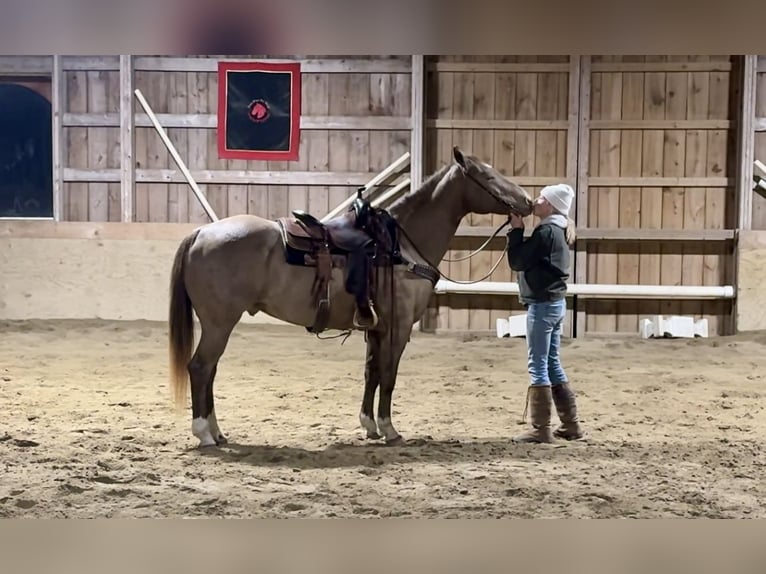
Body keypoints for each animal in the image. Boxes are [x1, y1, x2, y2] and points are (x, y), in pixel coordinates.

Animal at [167, 146, 545, 448]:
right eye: (487, 175)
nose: (527, 201)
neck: (398, 247)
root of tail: (200, 233)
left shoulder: (376, 329)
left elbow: (371, 373)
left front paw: (369, 426)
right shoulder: (398, 329)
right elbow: (389, 377)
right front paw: (390, 430)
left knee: (210, 370)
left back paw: (218, 432)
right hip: (219, 323)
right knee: (200, 368)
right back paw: (204, 433)